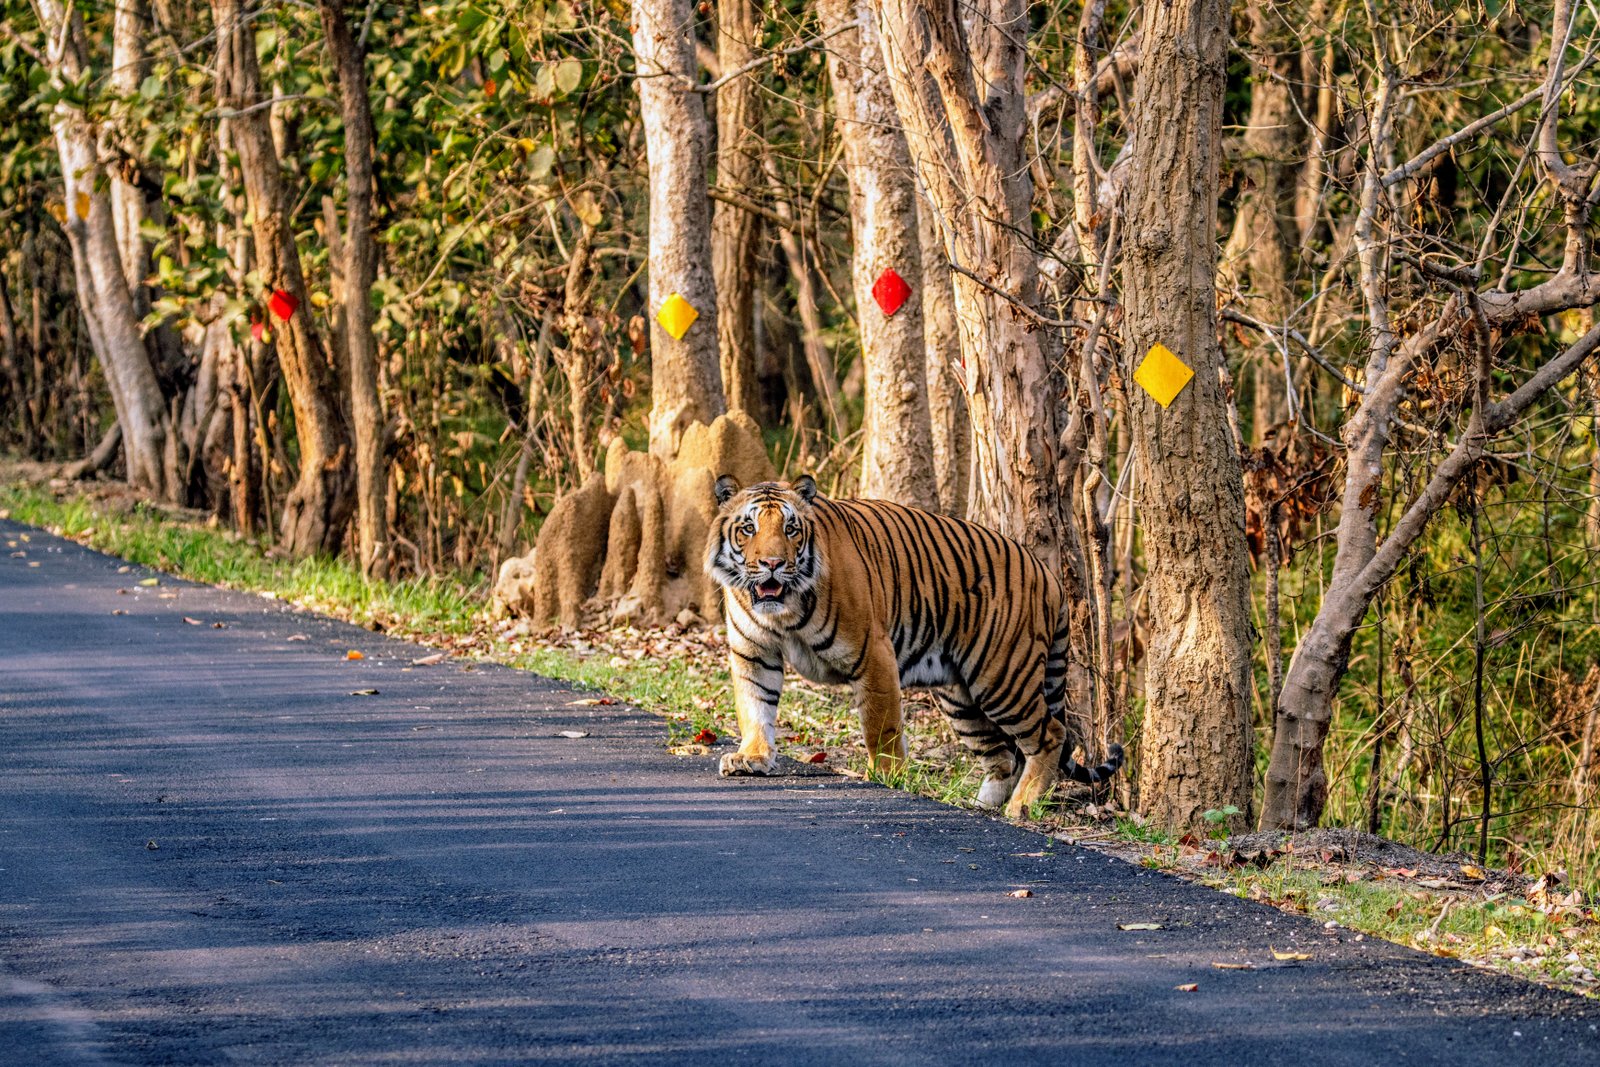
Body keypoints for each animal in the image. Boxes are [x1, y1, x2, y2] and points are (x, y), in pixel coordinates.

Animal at [704, 474, 1124, 818]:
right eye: (748, 528)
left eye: (791, 529)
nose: (772, 563)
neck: (783, 612)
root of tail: (1048, 574)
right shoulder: (753, 653)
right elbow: (755, 706)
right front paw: (752, 757)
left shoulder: (872, 653)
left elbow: (881, 724)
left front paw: (885, 775)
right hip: (961, 698)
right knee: (1003, 756)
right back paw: (980, 806)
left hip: (1002, 678)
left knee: (1050, 734)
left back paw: (1021, 806)